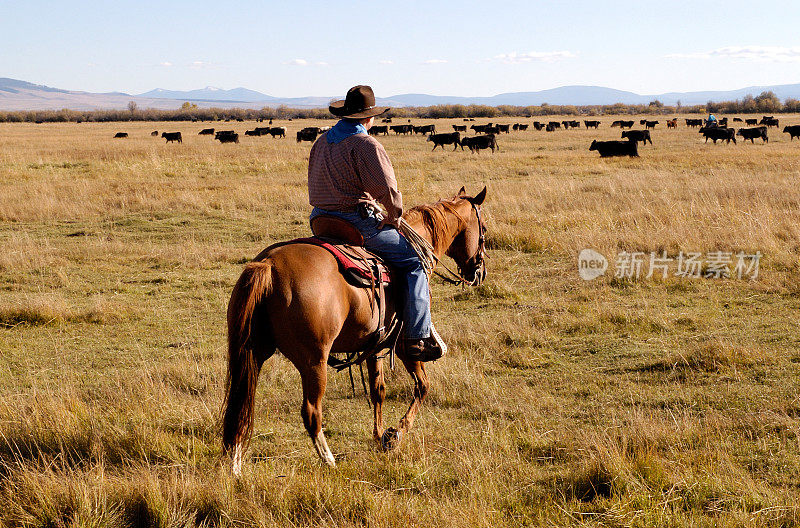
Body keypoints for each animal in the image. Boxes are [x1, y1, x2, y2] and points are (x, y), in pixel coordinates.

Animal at [223, 186, 488, 470]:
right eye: (483, 228)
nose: (479, 272)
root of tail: (269, 265)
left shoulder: (375, 346)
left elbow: (378, 390)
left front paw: (380, 434)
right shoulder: (404, 345)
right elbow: (422, 385)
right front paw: (396, 434)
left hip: (252, 352)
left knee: (241, 403)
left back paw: (235, 464)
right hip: (314, 361)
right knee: (311, 412)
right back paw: (329, 460)